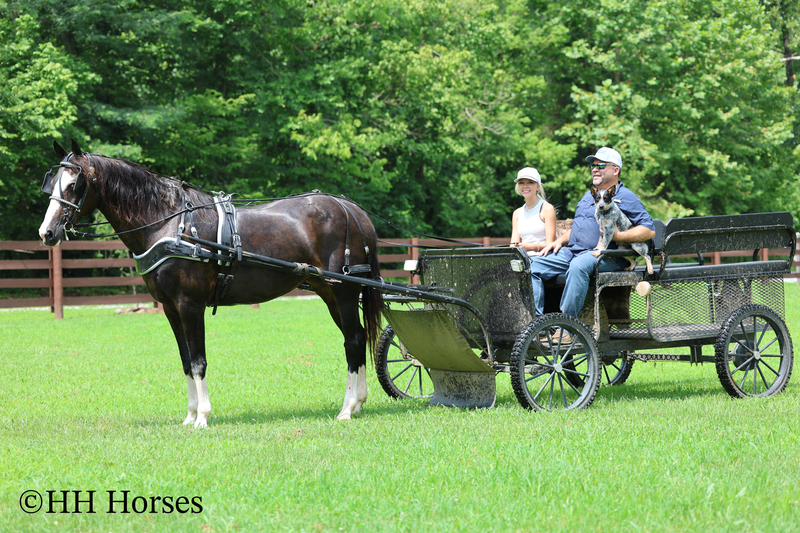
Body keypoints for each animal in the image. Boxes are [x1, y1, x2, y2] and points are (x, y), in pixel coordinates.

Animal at [38, 139, 383, 427]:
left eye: (73, 184)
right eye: (51, 184)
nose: (46, 233)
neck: (169, 222)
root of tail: (351, 209)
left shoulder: (190, 305)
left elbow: (199, 360)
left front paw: (202, 417)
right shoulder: (170, 309)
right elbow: (185, 361)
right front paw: (190, 415)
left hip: (344, 292)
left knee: (354, 341)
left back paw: (346, 408)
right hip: (330, 293)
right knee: (356, 336)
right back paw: (358, 403)